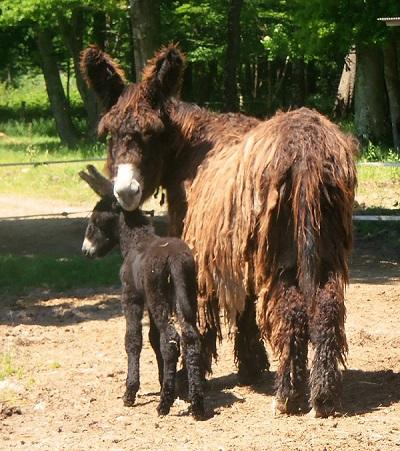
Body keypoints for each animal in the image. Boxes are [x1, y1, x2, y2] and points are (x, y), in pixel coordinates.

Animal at [80, 166, 205, 420]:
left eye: (95, 219)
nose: (85, 251)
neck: (136, 242)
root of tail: (174, 258)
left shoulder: (132, 297)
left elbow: (134, 339)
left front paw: (130, 392)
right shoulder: (148, 300)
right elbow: (153, 339)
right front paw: (163, 381)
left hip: (159, 297)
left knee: (171, 340)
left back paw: (164, 405)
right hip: (184, 295)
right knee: (190, 338)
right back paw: (197, 404)